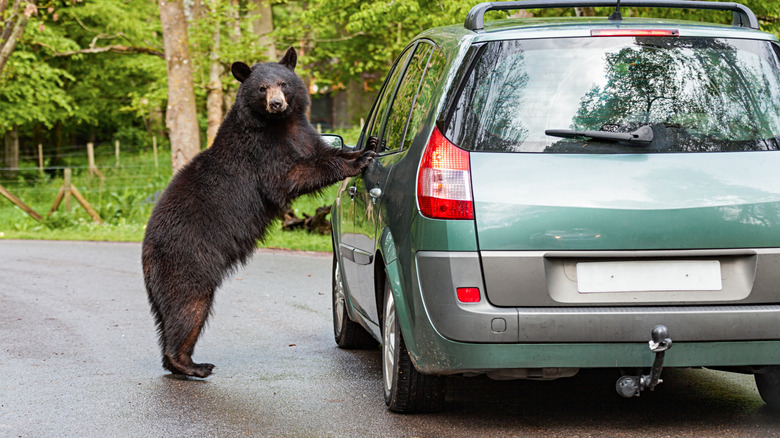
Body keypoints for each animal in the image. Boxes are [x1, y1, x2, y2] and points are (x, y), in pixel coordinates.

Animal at [142, 47, 375, 378]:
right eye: (262, 88)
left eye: (283, 83)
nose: (277, 104)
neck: (279, 125)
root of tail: (147, 249)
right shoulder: (261, 152)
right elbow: (289, 176)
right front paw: (359, 160)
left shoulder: (303, 134)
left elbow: (323, 151)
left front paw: (365, 146)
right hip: (188, 259)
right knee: (188, 306)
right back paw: (191, 364)